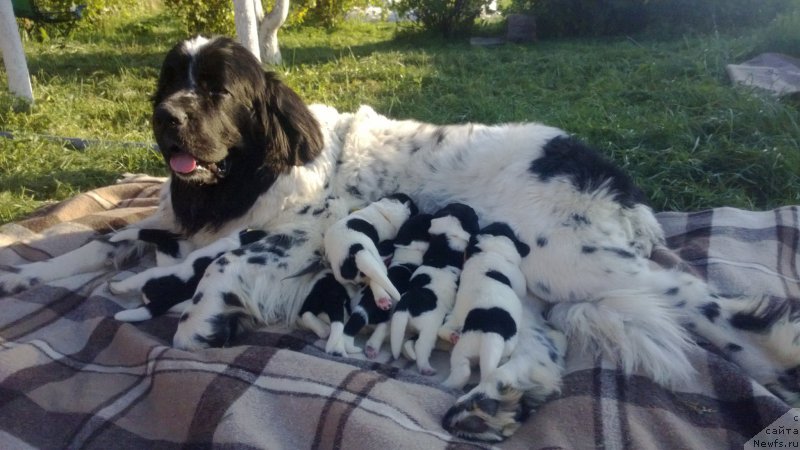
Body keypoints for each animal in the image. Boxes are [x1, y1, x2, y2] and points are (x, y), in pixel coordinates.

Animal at [340, 214, 434, 358]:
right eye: (426, 221)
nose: (432, 215)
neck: (407, 251)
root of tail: (364, 308)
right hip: (386, 316)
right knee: (382, 329)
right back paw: (372, 348)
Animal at [390, 202, 478, 374]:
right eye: (472, 214)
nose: (473, 209)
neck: (447, 234)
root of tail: (406, 302)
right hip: (429, 327)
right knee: (421, 345)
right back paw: (426, 368)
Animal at [438, 222, 532, 390]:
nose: (502, 222)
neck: (489, 251)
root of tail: (489, 331)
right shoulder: (518, 279)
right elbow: (521, 289)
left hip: (463, 347)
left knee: (462, 370)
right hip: (506, 345)